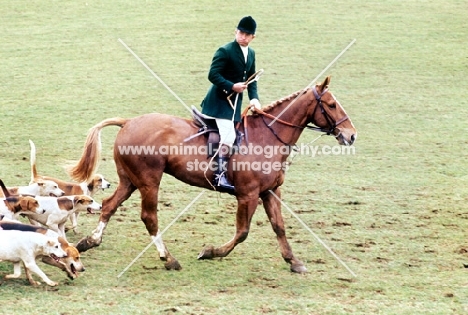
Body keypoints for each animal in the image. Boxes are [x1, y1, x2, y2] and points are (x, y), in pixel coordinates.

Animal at [69, 77, 354, 274]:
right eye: (331, 105)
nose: (351, 135)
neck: (268, 137)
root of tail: (128, 122)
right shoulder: (248, 195)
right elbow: (242, 232)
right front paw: (210, 252)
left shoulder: (270, 191)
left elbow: (279, 227)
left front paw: (293, 261)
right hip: (149, 182)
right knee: (149, 217)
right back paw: (168, 258)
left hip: (130, 180)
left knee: (109, 205)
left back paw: (90, 241)